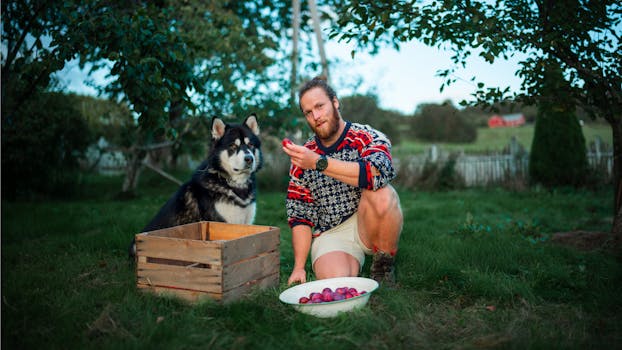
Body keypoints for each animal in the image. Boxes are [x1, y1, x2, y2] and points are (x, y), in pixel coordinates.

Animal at [130, 115, 262, 258]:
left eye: (250, 145)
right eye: (233, 146)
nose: (249, 159)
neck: (235, 185)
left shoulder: (246, 223)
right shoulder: (222, 222)